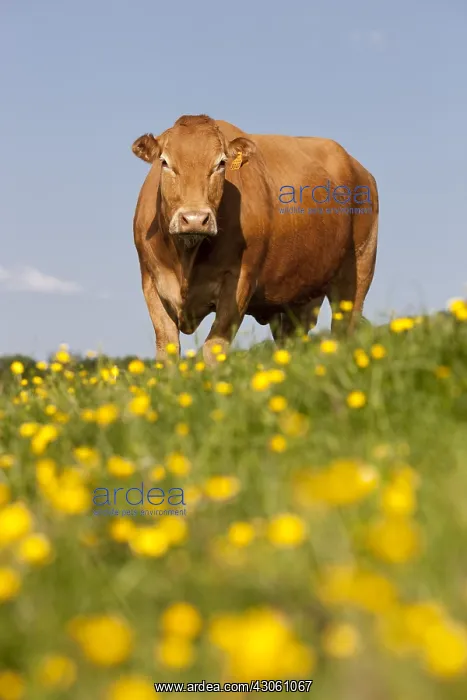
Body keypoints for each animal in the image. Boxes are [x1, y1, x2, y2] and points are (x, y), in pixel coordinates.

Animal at [132, 115, 378, 365]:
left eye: (220, 163)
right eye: (164, 162)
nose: (194, 219)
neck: (187, 257)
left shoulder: (240, 280)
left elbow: (214, 347)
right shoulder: (150, 281)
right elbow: (167, 348)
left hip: (358, 270)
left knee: (344, 330)